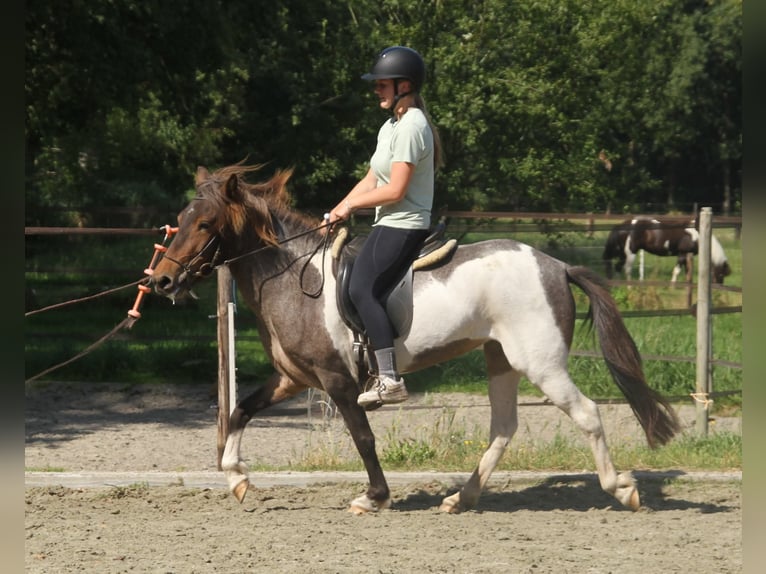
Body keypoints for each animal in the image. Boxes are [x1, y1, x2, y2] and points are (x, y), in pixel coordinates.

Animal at [151, 163, 679, 514]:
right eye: (180, 218)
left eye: (205, 224)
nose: (161, 282)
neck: (294, 277)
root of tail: (557, 265)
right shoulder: (295, 378)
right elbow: (240, 410)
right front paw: (237, 478)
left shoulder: (337, 380)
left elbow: (363, 437)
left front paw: (374, 497)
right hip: (500, 360)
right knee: (503, 427)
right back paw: (461, 498)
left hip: (541, 363)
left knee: (586, 414)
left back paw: (623, 489)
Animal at [602, 216, 731, 284]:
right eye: (721, 274)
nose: (719, 288)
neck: (698, 235)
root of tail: (623, 225)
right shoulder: (682, 254)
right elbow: (677, 271)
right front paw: (672, 286)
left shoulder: (686, 256)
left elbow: (687, 272)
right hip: (630, 253)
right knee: (627, 269)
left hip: (623, 254)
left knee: (618, 268)